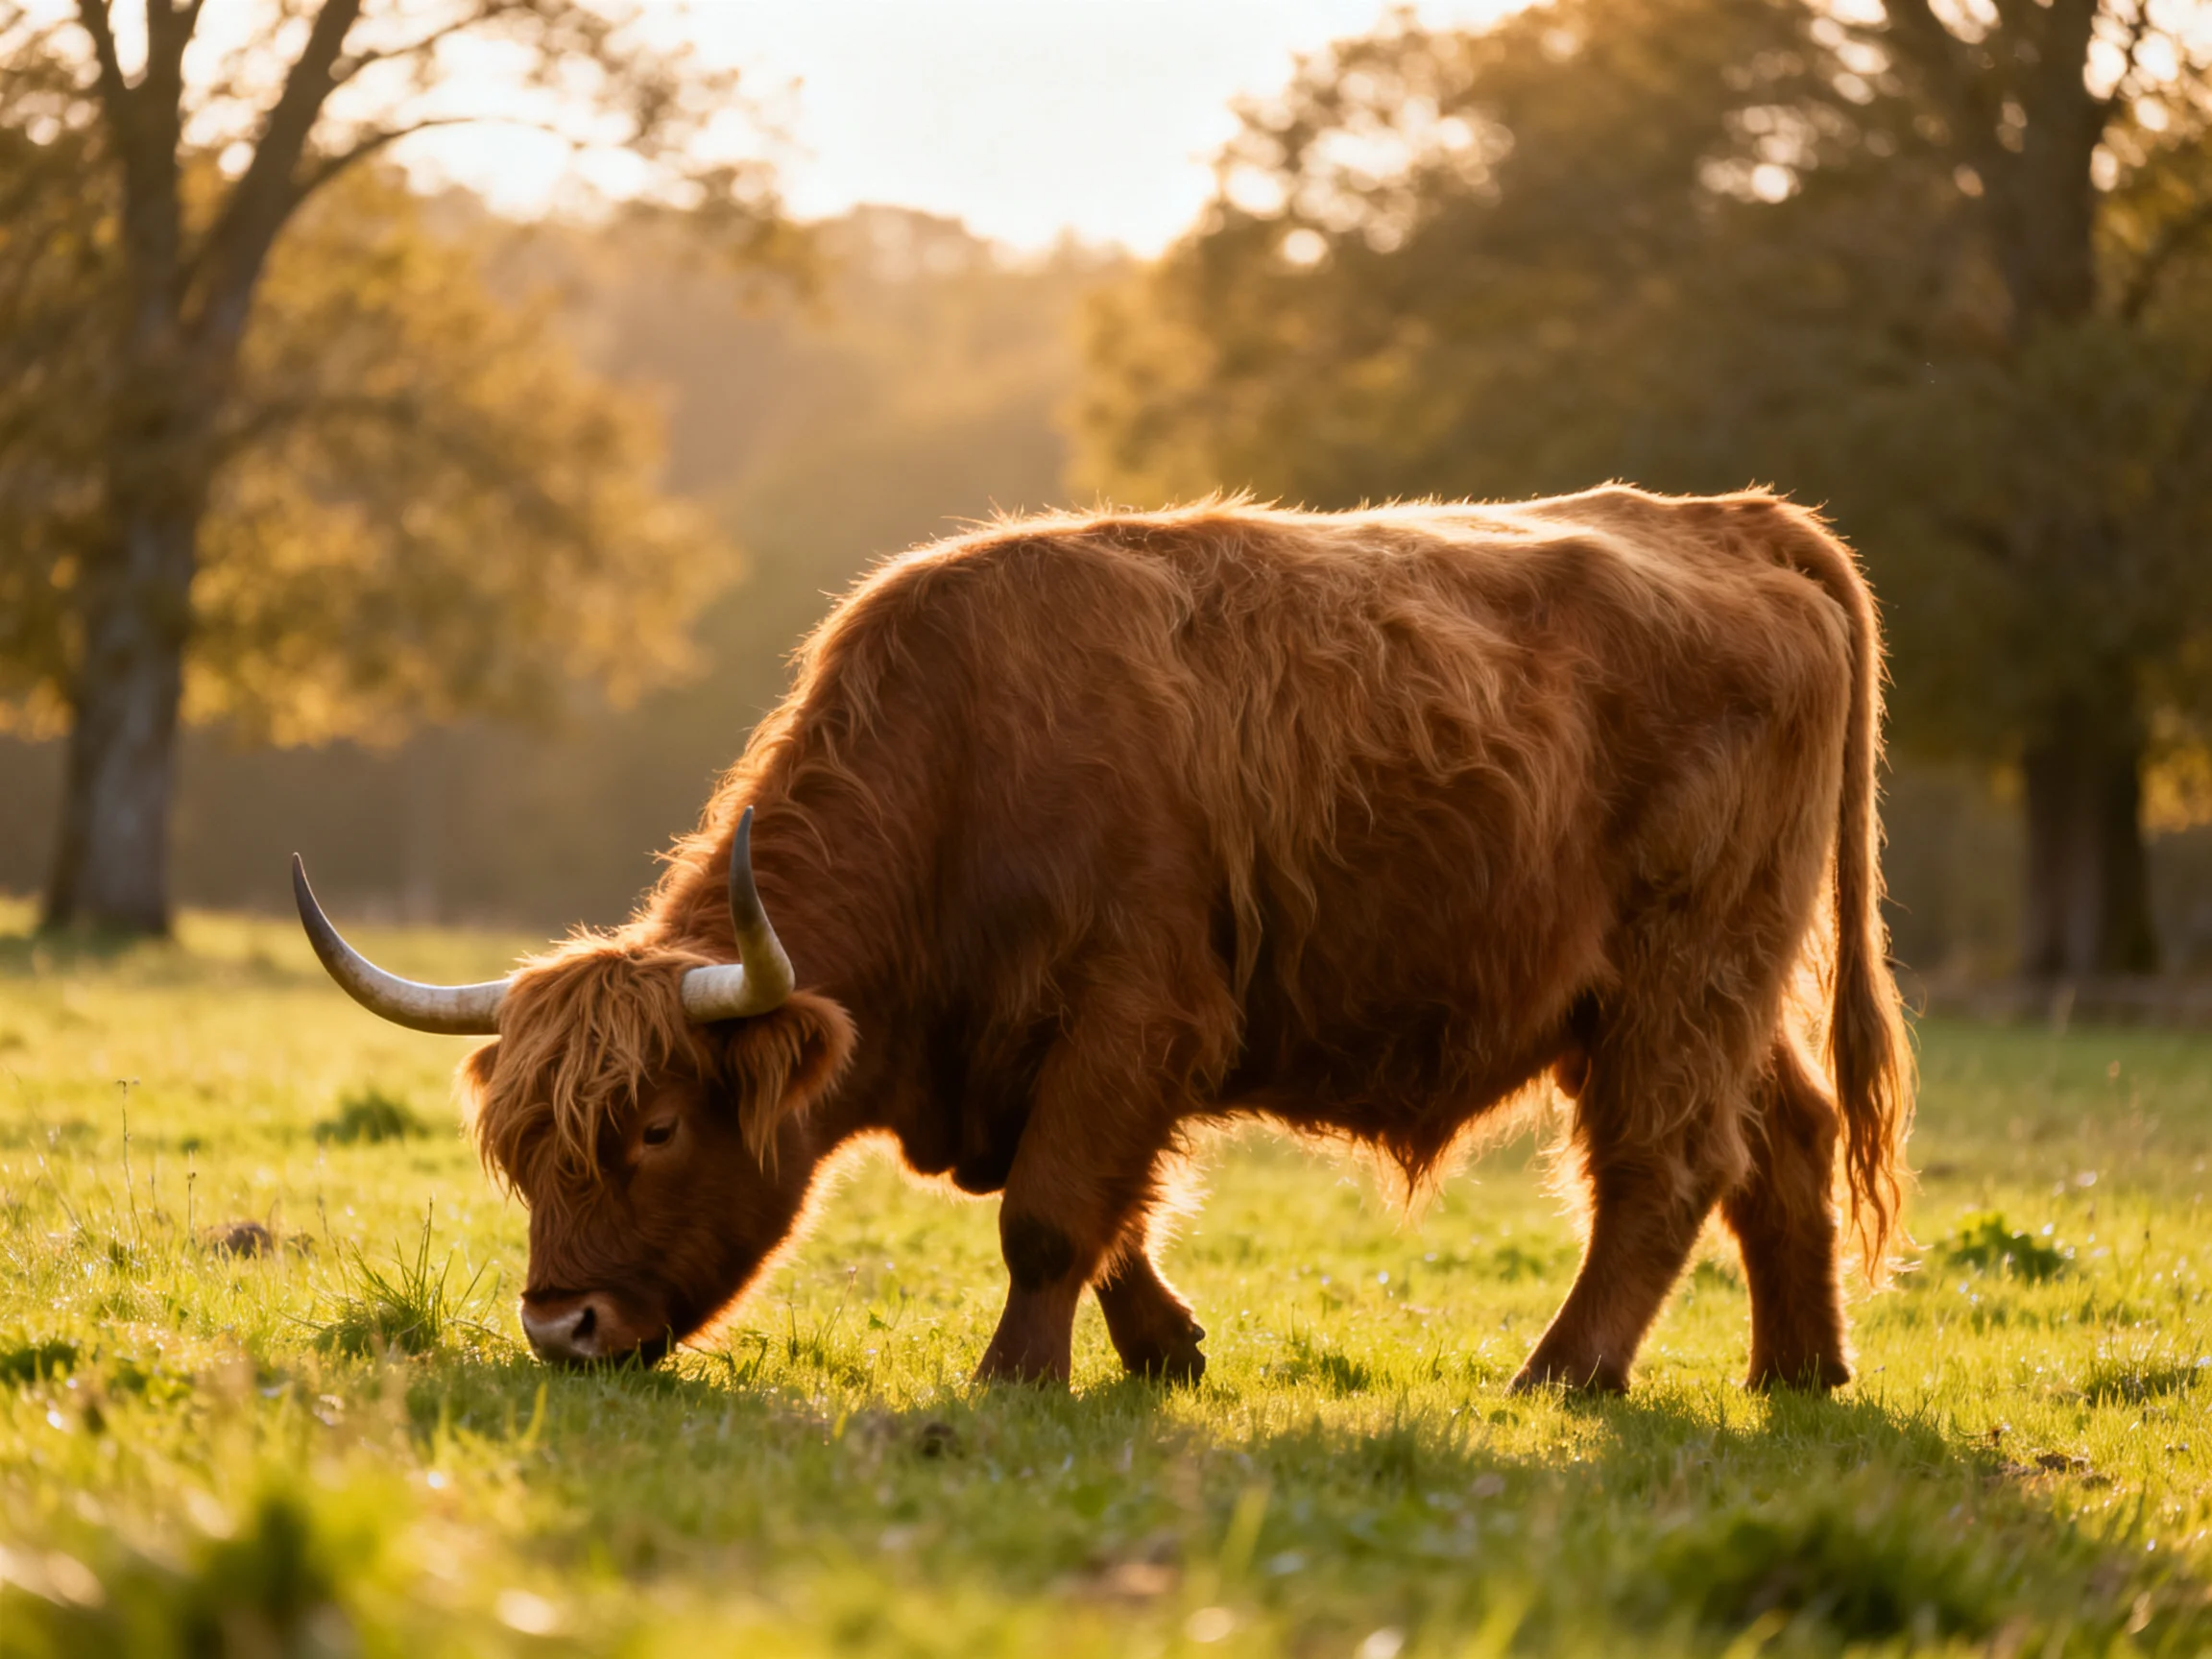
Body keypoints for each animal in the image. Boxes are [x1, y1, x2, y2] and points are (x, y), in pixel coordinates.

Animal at [293, 487, 1912, 1393]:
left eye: (654, 1131)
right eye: (521, 1152)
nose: (558, 1329)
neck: (963, 771)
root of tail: (1734, 520)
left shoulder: (1135, 1012)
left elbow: (1052, 1213)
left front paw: (1019, 1380)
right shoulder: (1063, 1052)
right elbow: (1109, 1210)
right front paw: (1166, 1350)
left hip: (1677, 973)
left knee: (1665, 1170)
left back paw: (1563, 1375)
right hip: (1703, 989)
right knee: (1782, 1140)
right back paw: (1799, 1372)